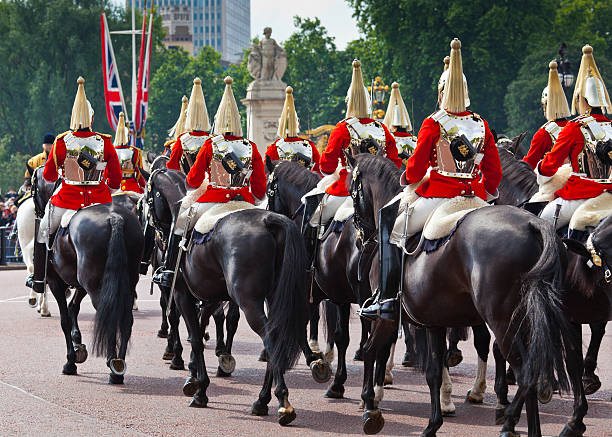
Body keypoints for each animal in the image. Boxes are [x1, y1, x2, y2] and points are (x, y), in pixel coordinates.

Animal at [32, 167, 145, 382]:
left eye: (33, 187)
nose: (37, 212)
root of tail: (114, 218)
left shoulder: (56, 281)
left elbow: (65, 319)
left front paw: (70, 361)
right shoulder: (81, 284)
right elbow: (73, 308)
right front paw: (78, 345)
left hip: (93, 285)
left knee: (108, 314)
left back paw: (113, 365)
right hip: (124, 282)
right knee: (125, 317)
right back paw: (119, 364)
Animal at [350, 153, 584, 436]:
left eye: (352, 192)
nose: (360, 238)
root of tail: (534, 223)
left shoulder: (388, 316)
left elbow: (371, 350)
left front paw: (370, 406)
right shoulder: (434, 322)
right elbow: (433, 372)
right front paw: (433, 423)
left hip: (504, 322)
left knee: (526, 372)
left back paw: (509, 421)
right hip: (536, 320)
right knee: (549, 364)